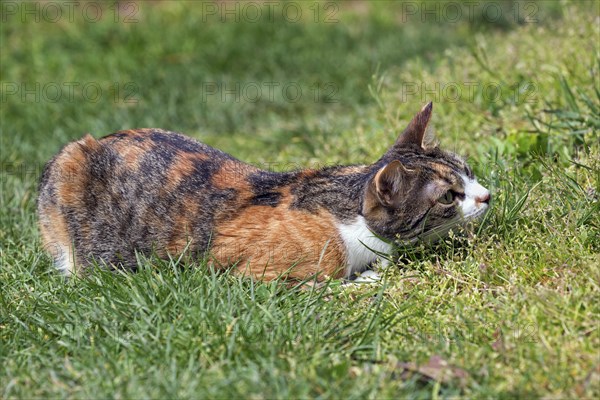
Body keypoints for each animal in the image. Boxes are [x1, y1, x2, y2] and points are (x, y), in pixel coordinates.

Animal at [37, 103, 490, 282]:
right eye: (448, 196)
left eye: (468, 173)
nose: (486, 196)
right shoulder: (246, 276)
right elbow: (327, 285)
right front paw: (367, 281)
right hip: (68, 167)